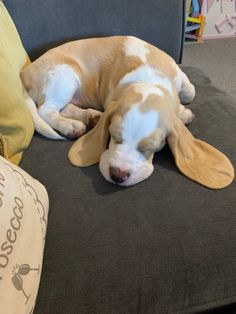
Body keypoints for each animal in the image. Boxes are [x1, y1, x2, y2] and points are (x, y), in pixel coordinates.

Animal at [20, 36, 234, 189]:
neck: (149, 83)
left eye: (150, 148)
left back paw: (91, 117)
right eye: (114, 137)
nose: (118, 175)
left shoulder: (179, 75)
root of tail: (24, 73)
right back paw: (69, 125)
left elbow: (190, 91)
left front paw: (182, 112)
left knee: (65, 107)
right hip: (66, 76)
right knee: (45, 110)